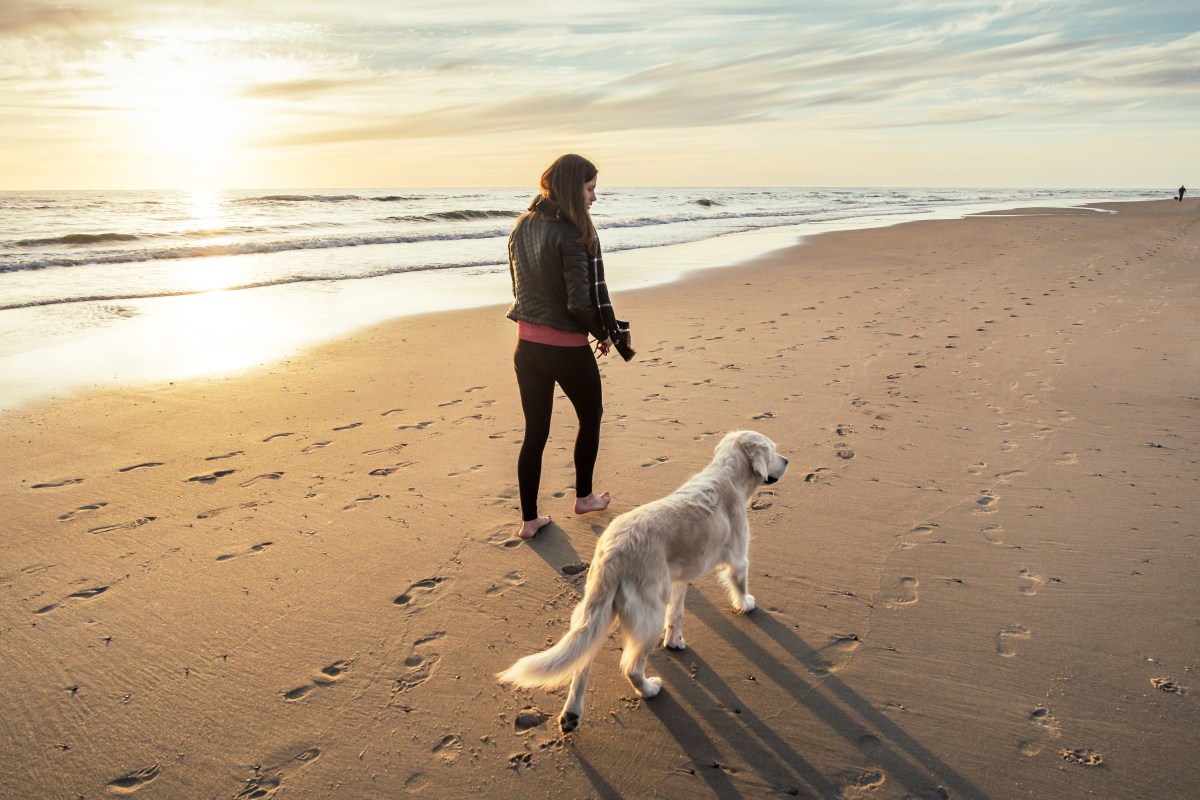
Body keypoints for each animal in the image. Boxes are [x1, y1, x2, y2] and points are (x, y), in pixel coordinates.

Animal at [496, 431, 787, 734]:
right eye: (774, 451)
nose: (787, 461)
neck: (727, 476)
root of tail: (612, 552)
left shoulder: (678, 580)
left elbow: (677, 614)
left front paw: (674, 641)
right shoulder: (739, 558)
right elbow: (740, 583)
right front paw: (747, 604)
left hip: (597, 612)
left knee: (582, 662)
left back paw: (572, 715)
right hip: (647, 615)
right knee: (630, 667)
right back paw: (649, 689)